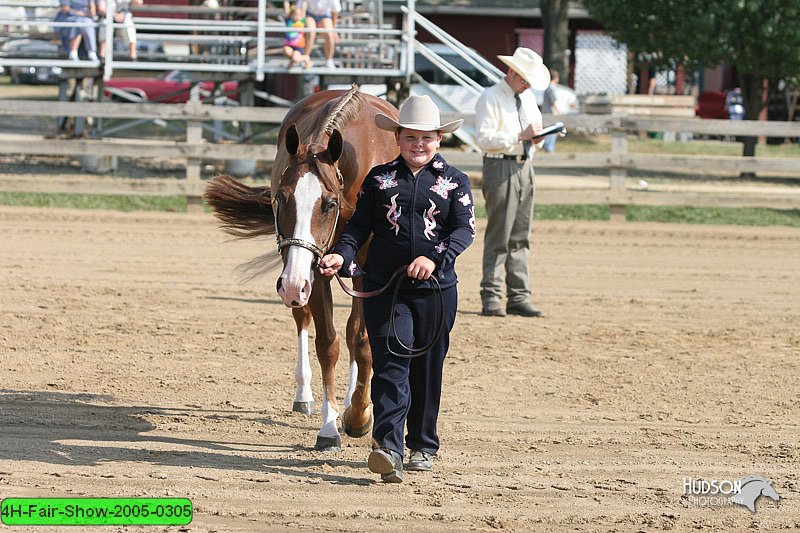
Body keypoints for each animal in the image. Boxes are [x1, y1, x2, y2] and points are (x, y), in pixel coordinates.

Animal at [202, 86, 398, 448]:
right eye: (281, 198)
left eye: (329, 203)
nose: (291, 284)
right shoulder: (312, 271)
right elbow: (328, 344)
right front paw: (330, 426)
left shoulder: (368, 270)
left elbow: (362, 341)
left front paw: (359, 414)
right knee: (303, 319)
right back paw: (305, 395)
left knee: (353, 331)